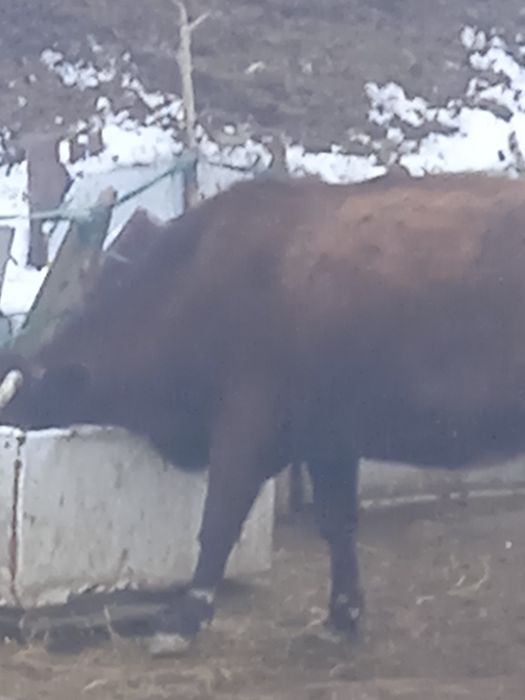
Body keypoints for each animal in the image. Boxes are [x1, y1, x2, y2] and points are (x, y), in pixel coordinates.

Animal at [0, 171, 525, 656]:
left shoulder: (245, 423)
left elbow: (218, 521)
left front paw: (183, 620)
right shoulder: (328, 438)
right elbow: (337, 523)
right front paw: (342, 615)